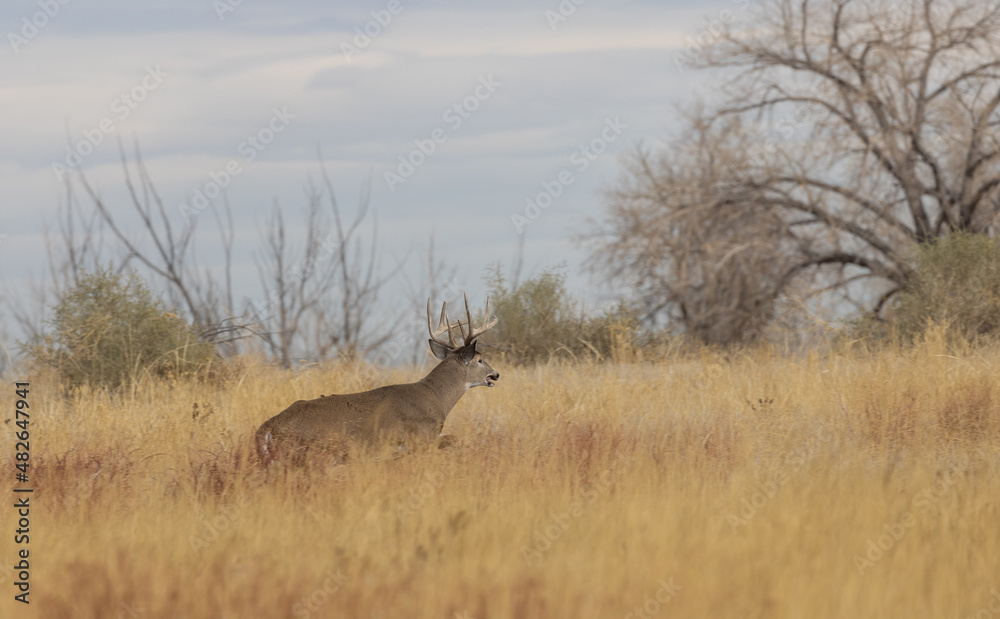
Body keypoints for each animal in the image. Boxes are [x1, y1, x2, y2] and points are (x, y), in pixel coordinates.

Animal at [255, 294, 500, 464]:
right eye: (480, 360)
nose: (495, 374)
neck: (437, 398)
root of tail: (265, 430)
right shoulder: (420, 437)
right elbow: (455, 440)